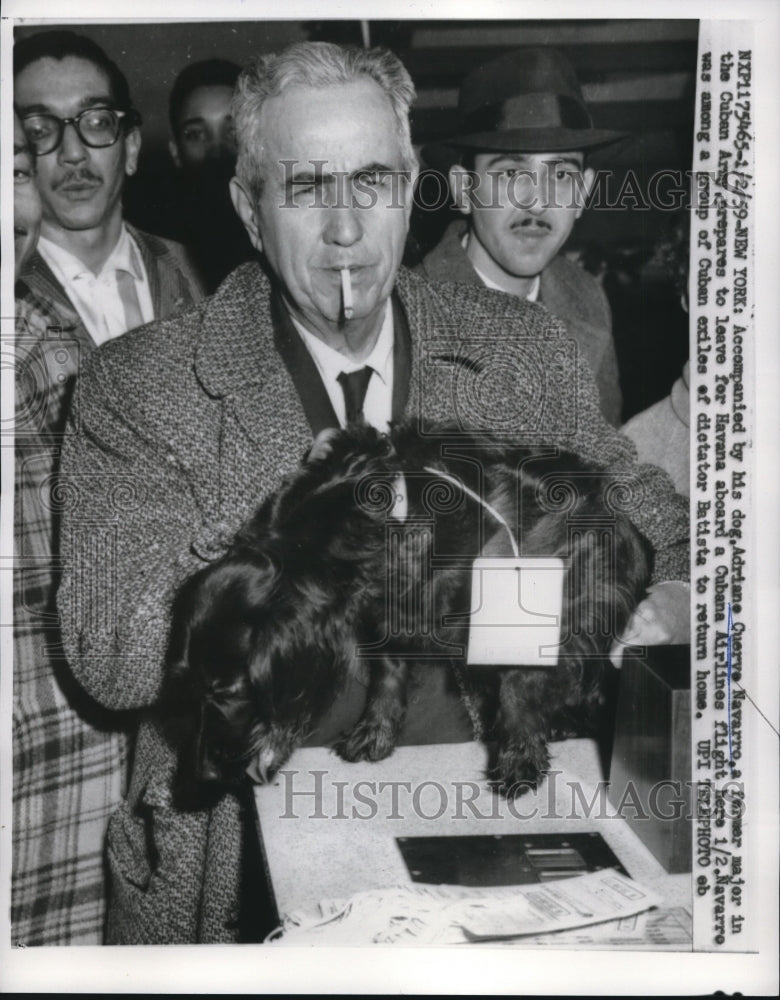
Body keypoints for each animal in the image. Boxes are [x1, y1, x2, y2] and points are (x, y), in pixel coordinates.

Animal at [169, 422, 652, 796]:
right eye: (188, 689)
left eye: (228, 691)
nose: (203, 775)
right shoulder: (390, 612)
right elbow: (388, 675)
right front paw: (375, 732)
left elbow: (519, 685)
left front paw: (519, 756)